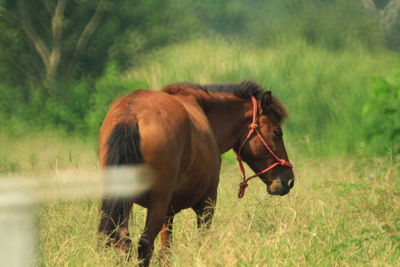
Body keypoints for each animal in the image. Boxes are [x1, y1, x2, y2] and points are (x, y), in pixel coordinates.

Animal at [98, 80, 296, 266]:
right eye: (277, 132)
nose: (289, 180)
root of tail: (131, 114)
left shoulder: (168, 213)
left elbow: (166, 251)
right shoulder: (207, 204)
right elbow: (201, 243)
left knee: (123, 242)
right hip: (157, 204)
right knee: (144, 245)